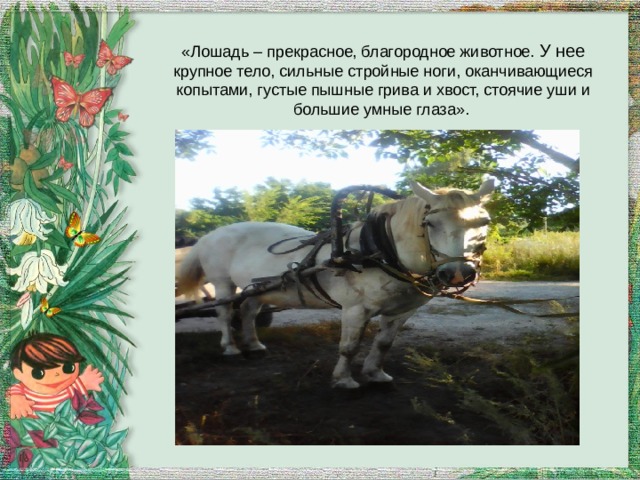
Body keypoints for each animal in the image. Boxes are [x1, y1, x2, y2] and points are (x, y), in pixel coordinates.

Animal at [176, 179, 494, 388]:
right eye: (430, 224)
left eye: (484, 222)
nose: (458, 273)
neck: (378, 252)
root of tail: (209, 235)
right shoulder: (356, 309)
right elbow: (349, 346)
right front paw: (344, 380)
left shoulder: (402, 311)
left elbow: (383, 343)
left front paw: (375, 374)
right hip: (223, 283)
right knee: (225, 313)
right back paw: (230, 348)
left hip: (256, 286)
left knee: (249, 311)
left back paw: (254, 345)